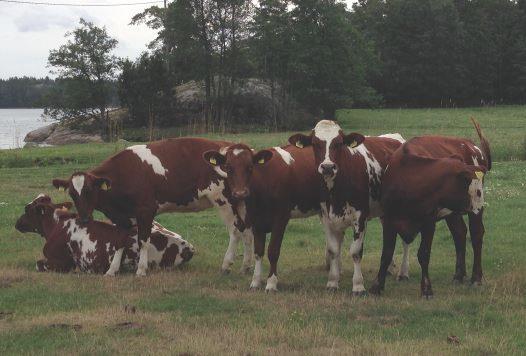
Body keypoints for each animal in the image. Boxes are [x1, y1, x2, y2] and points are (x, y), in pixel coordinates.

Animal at [15, 195, 195, 272]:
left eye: (26, 209)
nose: (16, 223)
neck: (56, 225)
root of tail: (187, 246)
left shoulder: (62, 263)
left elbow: (38, 264)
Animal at [51, 138, 274, 276]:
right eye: (72, 193)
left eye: (89, 190)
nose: (83, 218)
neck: (124, 174)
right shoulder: (121, 217)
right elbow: (119, 242)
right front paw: (111, 270)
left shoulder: (146, 210)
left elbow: (143, 240)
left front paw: (141, 270)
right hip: (240, 201)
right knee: (247, 232)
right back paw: (245, 267)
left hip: (224, 201)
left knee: (235, 232)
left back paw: (226, 265)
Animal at [202, 143, 320, 290]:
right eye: (228, 167)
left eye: (250, 167)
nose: (240, 193)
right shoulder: (256, 221)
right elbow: (258, 251)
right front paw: (255, 282)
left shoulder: (281, 219)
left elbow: (273, 251)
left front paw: (271, 283)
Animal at [288, 121, 408, 296]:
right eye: (315, 144)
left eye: (339, 143)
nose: (328, 167)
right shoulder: (326, 217)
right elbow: (333, 250)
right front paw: (332, 282)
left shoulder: (360, 217)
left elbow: (356, 252)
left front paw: (358, 286)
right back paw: (390, 269)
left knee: (405, 239)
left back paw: (403, 272)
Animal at [370, 117, 492, 298]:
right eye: (465, 179)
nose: (478, 195)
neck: (408, 182)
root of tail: (471, 145)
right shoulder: (389, 220)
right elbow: (386, 253)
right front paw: (377, 287)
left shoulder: (428, 222)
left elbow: (424, 254)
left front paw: (426, 289)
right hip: (453, 213)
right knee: (459, 233)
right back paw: (458, 275)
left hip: (473, 212)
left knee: (476, 234)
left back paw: (476, 278)